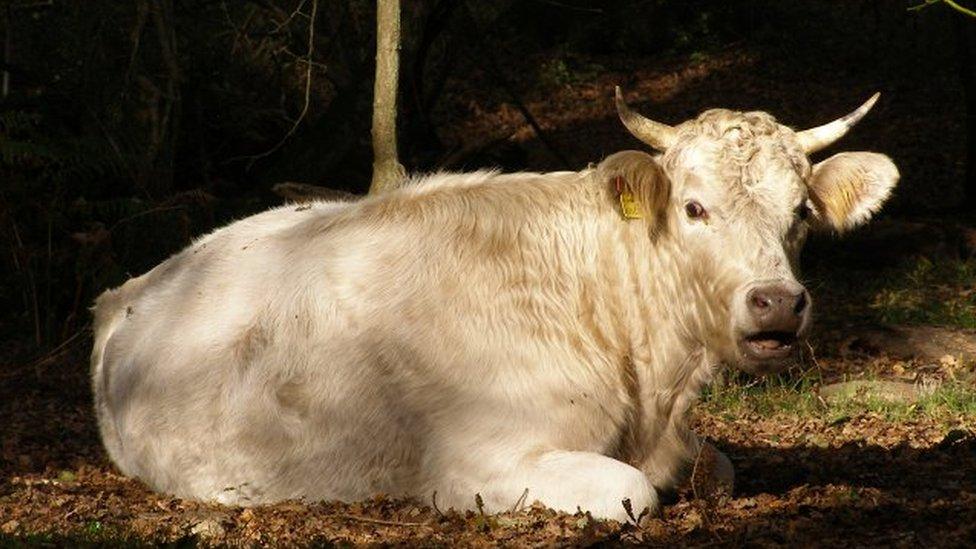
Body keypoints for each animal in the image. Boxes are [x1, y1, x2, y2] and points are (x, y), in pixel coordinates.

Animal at [91, 90, 900, 524]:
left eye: (801, 213)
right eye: (695, 207)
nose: (777, 303)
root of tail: (124, 292)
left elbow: (719, 467)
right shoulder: (477, 464)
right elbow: (636, 490)